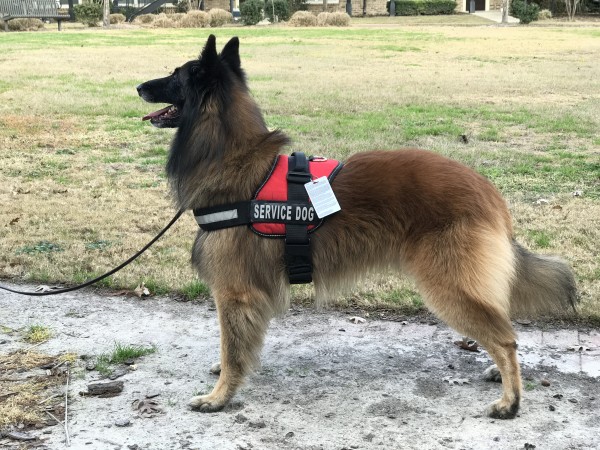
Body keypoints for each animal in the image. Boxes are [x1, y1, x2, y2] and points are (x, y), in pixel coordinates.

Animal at [136, 34, 576, 418]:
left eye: (175, 76)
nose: (139, 86)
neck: (233, 157)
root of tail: (488, 192)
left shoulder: (234, 291)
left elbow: (232, 345)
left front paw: (219, 396)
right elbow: (234, 345)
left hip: (449, 285)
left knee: (504, 337)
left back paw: (511, 402)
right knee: (505, 329)